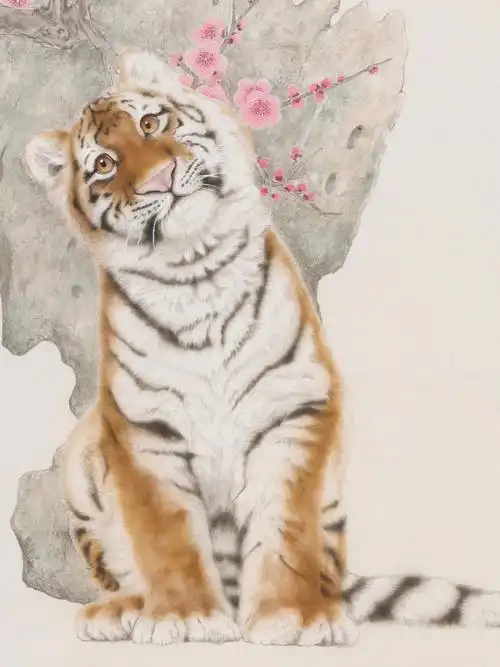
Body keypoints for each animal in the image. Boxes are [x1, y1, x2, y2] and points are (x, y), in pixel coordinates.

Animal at [24, 50, 500, 646]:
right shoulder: (146, 431)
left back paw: (328, 613)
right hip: (81, 463)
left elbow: (286, 526)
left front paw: (292, 617)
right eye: (106, 164)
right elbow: (166, 533)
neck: (195, 271)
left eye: (151, 124)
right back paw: (119, 612)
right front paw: (184, 616)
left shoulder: (292, 409)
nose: (160, 179)